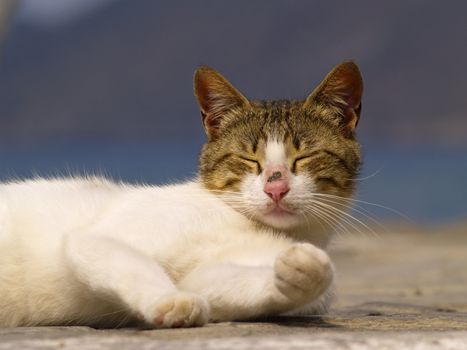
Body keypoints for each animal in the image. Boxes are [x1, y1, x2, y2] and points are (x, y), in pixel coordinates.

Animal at [0, 62, 362, 328]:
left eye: (304, 156)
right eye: (248, 159)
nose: (276, 188)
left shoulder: (209, 275)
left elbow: (223, 284)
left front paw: (302, 271)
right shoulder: (96, 239)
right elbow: (133, 265)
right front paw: (170, 301)